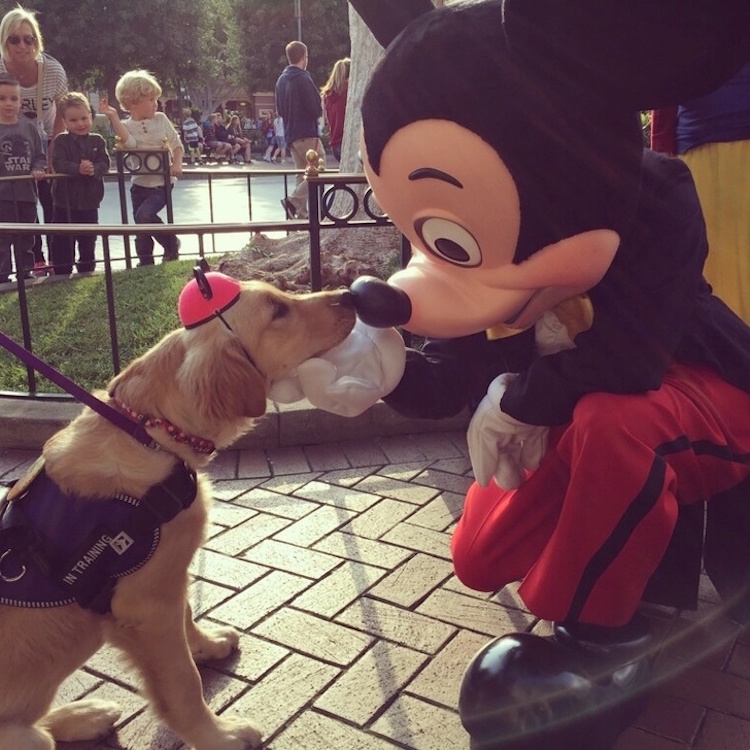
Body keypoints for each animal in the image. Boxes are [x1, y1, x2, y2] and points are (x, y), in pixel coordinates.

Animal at [0, 280, 356, 750]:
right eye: (278, 311)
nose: (351, 295)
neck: (150, 431)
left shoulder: (169, 581)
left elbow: (188, 616)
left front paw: (207, 645)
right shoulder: (146, 608)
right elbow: (183, 683)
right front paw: (218, 735)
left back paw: (86, 714)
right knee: (39, 735)